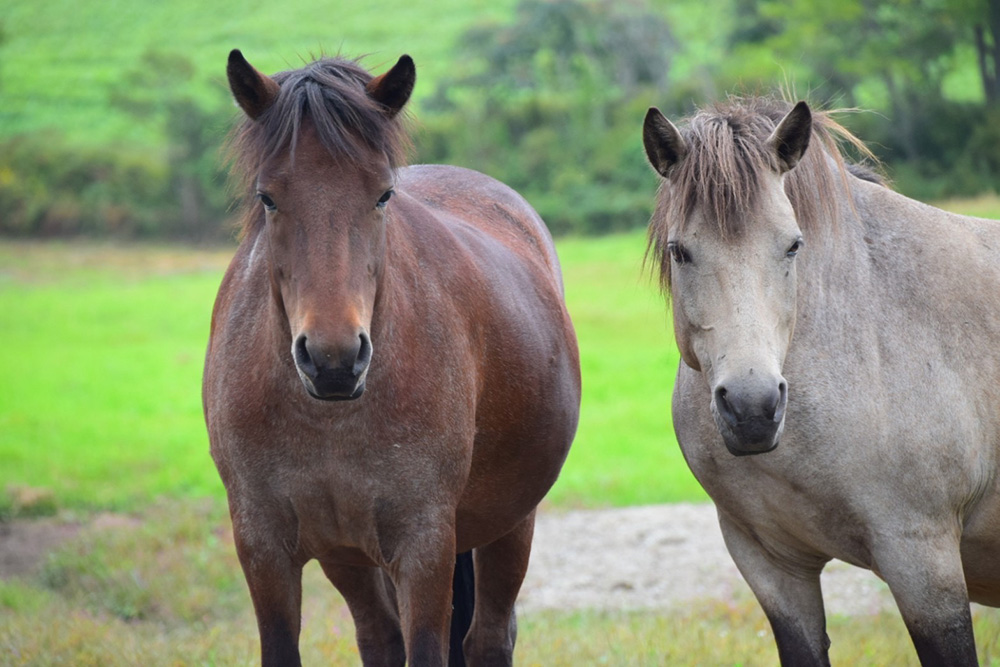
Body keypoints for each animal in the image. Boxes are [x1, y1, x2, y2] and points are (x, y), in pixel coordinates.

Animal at [203, 49, 580, 664]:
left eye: (382, 195)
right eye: (268, 197)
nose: (333, 359)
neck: (328, 420)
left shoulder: (424, 547)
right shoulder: (263, 546)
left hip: (510, 524)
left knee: (489, 639)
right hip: (349, 556)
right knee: (379, 637)